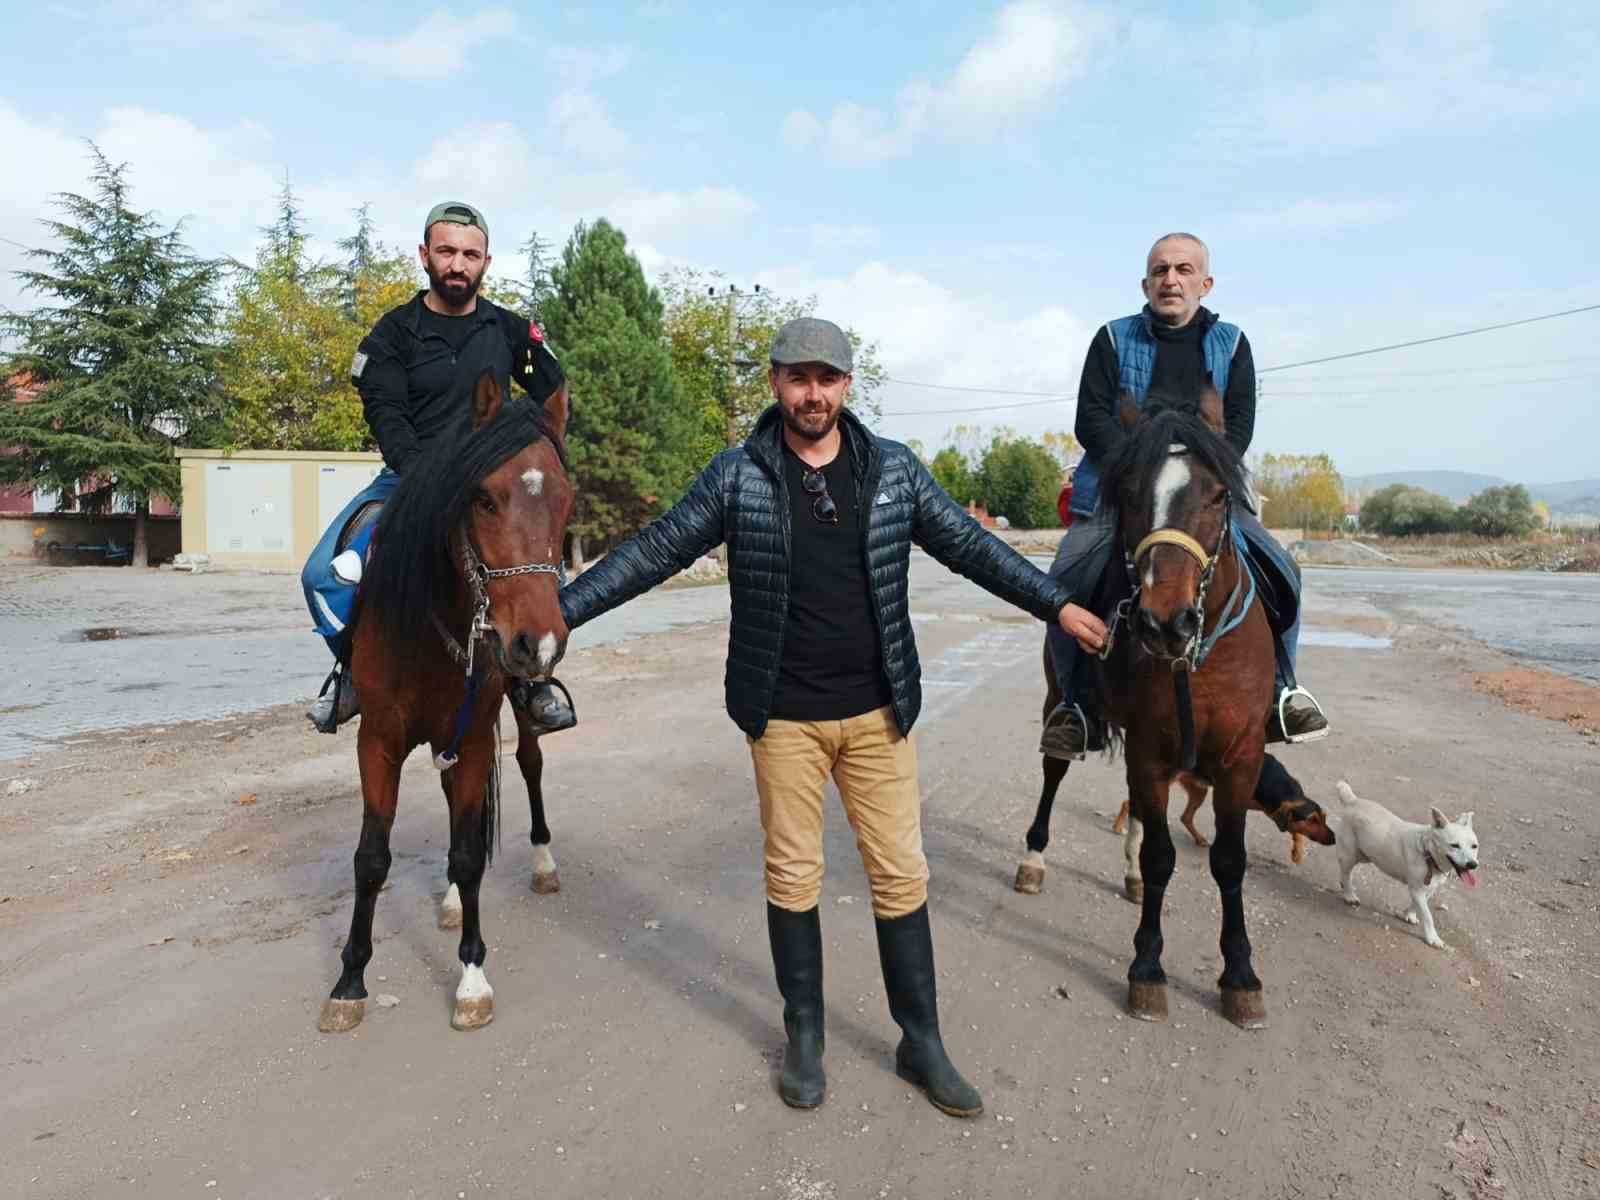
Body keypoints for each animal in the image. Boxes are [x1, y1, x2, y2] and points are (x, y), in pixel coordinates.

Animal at [315, 374, 572, 1036]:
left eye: (567, 502)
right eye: (483, 499)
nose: (537, 644)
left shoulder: (477, 735)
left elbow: (468, 851)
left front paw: (472, 978)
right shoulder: (379, 740)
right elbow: (372, 858)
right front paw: (349, 982)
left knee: (529, 767)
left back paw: (541, 862)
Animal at [1331, 784, 1478, 953]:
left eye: (1474, 846)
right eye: (1454, 845)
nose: (1472, 864)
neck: (1427, 853)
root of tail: (1353, 800)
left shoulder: (1428, 888)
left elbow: (1418, 904)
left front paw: (1409, 914)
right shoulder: (1417, 889)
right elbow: (1428, 916)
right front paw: (1432, 938)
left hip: (1365, 855)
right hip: (1350, 855)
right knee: (1345, 873)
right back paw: (1349, 894)